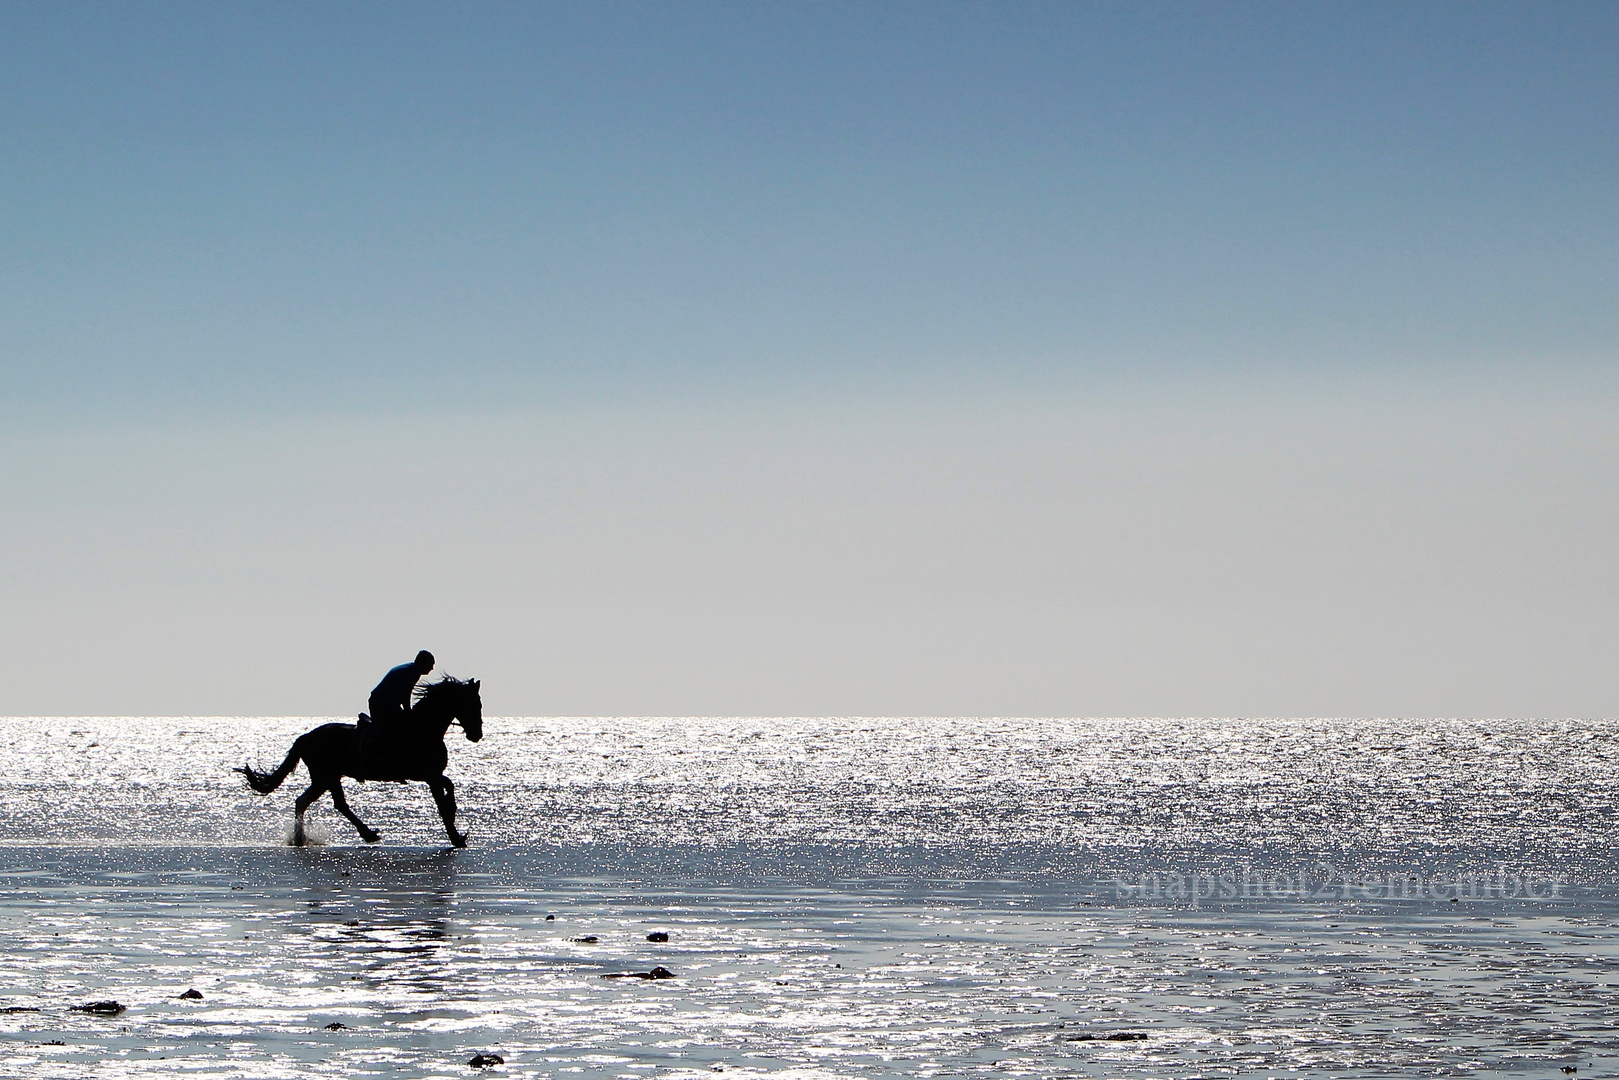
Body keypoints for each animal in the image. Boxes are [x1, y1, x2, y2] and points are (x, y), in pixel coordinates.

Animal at [236, 676, 479, 841]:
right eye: (473, 704)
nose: (476, 734)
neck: (423, 729)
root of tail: (305, 737)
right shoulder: (428, 775)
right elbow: (442, 801)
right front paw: (456, 837)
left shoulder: (433, 775)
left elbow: (449, 787)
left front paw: (454, 822)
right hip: (326, 776)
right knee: (330, 803)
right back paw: (361, 834)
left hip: (325, 777)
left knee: (308, 802)